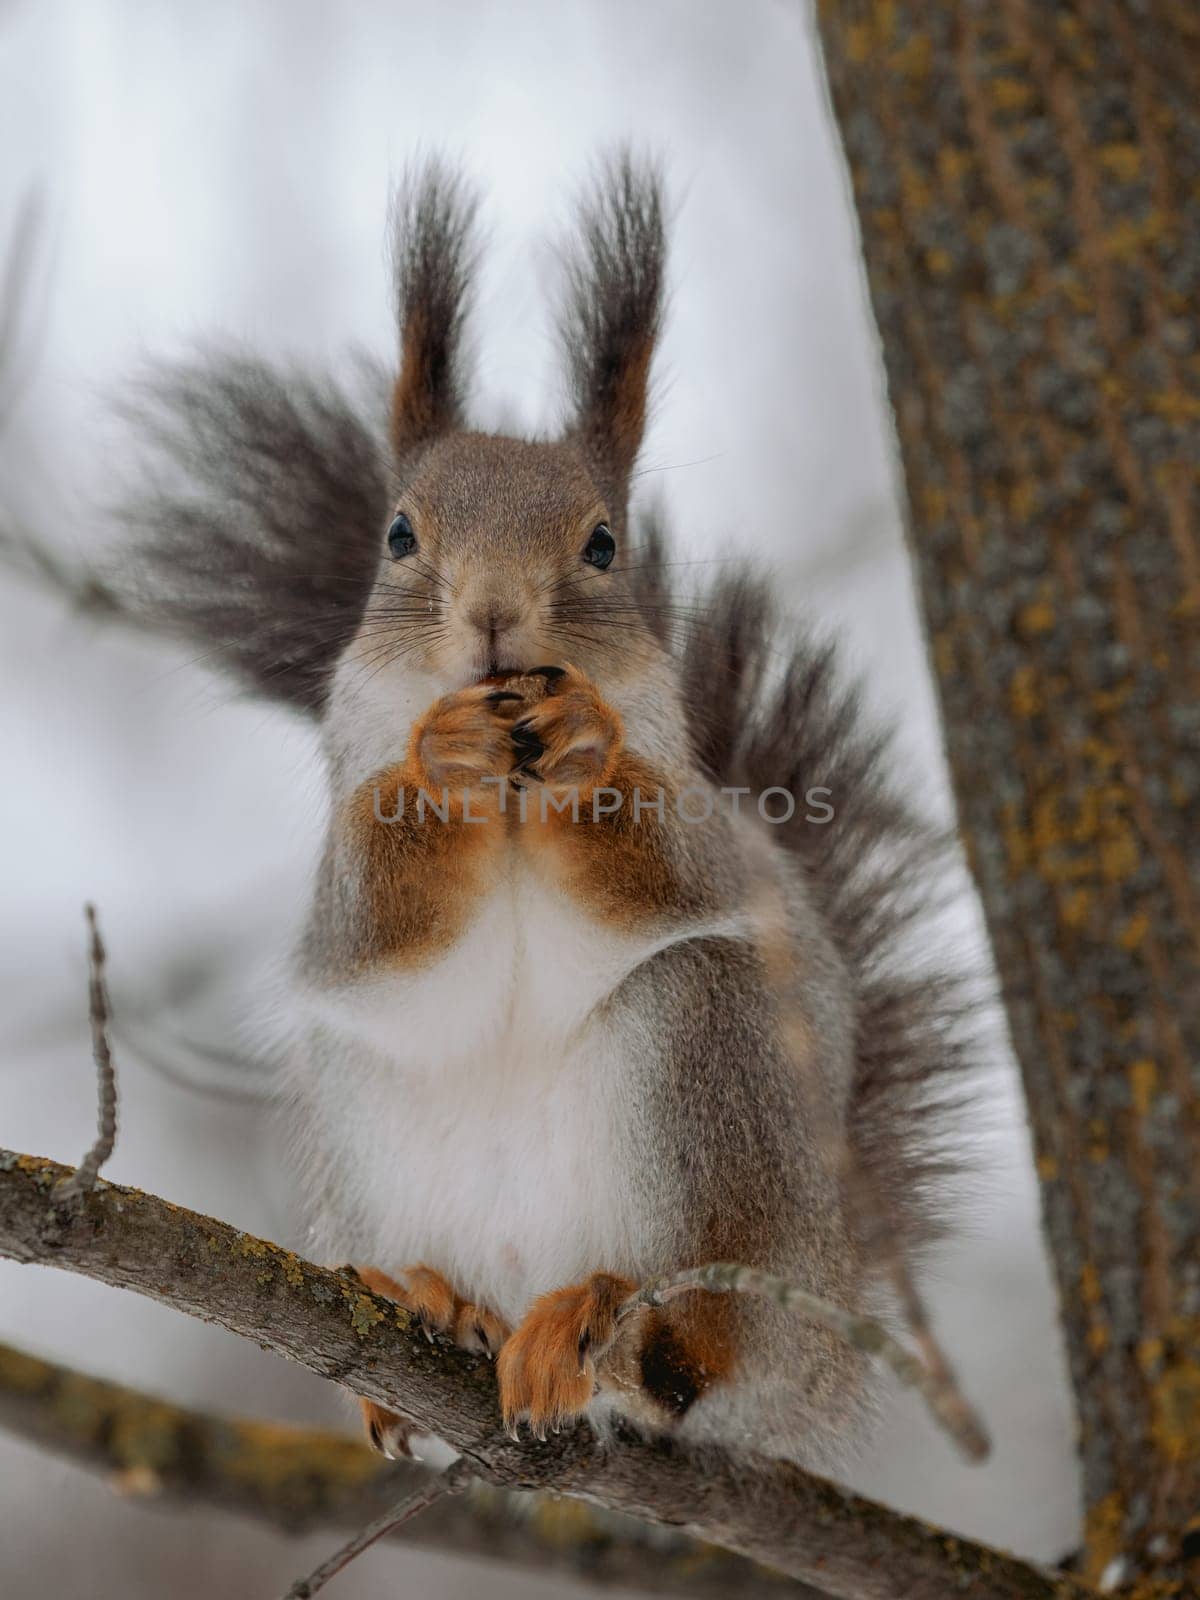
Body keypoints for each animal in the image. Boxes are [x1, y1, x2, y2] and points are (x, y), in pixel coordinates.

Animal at [120, 156, 979, 1465]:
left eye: (606, 545)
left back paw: (623, 1324)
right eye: (399, 533)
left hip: (710, 1064)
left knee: (701, 1338)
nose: (492, 614)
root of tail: (826, 1353)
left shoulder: (706, 829)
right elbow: (370, 922)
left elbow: (667, 860)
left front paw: (587, 748)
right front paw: (437, 763)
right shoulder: (342, 859)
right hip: (361, 1107)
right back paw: (432, 1297)